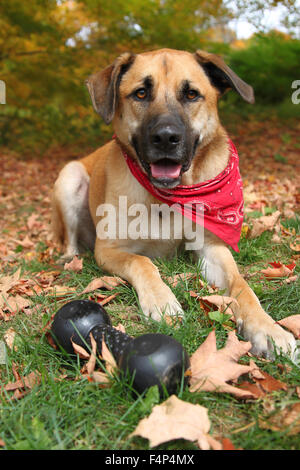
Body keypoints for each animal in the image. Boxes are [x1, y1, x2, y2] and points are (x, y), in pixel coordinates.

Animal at [52, 48, 298, 360]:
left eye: (191, 94)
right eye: (141, 93)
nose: (166, 137)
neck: (169, 197)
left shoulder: (211, 248)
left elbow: (241, 285)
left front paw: (268, 329)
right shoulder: (108, 249)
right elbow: (142, 261)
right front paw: (161, 301)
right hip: (70, 176)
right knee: (70, 240)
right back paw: (69, 259)